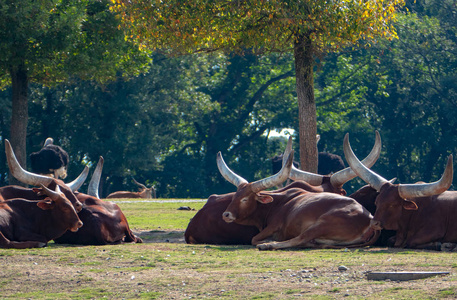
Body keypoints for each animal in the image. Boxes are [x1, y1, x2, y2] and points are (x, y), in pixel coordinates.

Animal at [216, 150, 378, 251]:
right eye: (234, 196)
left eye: (244, 199)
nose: (226, 215)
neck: (276, 203)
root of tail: (369, 218)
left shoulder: (273, 226)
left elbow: (254, 239)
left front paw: (266, 241)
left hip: (321, 224)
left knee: (299, 238)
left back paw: (268, 245)